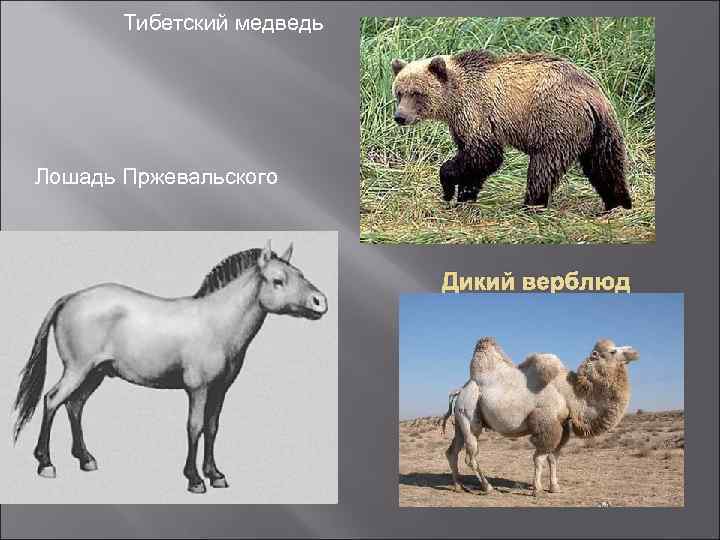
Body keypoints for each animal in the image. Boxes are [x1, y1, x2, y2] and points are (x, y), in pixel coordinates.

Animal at [12, 240, 328, 494]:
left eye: (300, 274)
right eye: (278, 280)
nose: (320, 302)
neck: (216, 324)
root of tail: (71, 298)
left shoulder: (220, 390)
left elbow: (212, 427)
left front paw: (215, 474)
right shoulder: (198, 389)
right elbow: (195, 427)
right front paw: (195, 479)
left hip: (95, 373)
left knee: (74, 405)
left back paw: (85, 458)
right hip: (77, 370)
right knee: (52, 400)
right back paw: (45, 463)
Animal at [391, 50, 632, 210]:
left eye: (417, 93)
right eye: (399, 92)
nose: (400, 117)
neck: (454, 100)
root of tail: (592, 95)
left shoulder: (477, 112)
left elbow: (485, 155)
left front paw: (449, 187)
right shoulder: (460, 124)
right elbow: (472, 157)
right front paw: (465, 195)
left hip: (556, 122)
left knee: (543, 167)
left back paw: (531, 205)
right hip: (601, 130)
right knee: (606, 165)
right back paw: (618, 203)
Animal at [443, 337, 639, 495]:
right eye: (612, 351)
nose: (634, 352)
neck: (569, 393)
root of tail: (461, 390)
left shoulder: (562, 425)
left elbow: (553, 458)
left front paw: (554, 487)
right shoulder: (546, 422)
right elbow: (539, 458)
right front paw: (537, 489)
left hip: (460, 421)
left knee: (452, 451)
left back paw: (458, 486)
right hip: (469, 415)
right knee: (470, 456)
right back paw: (488, 487)